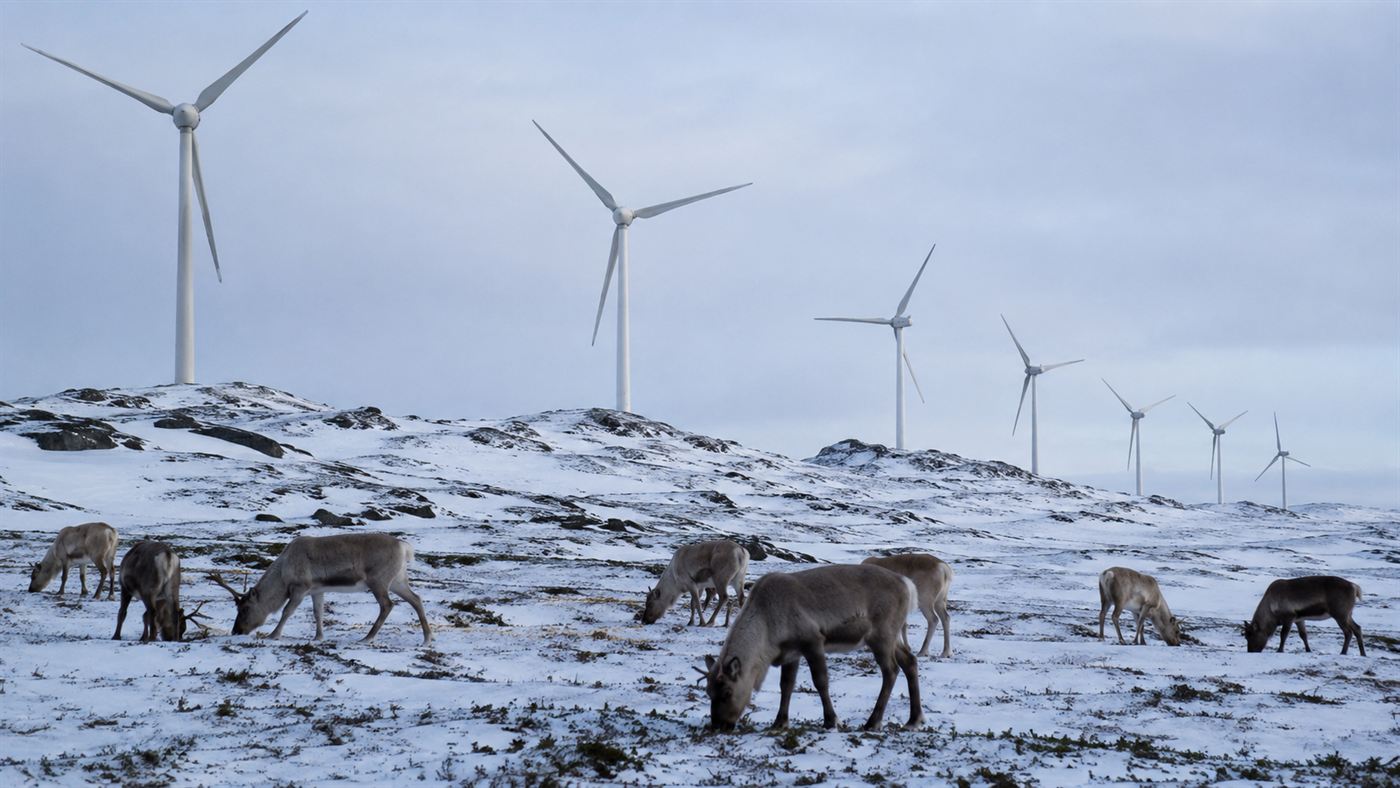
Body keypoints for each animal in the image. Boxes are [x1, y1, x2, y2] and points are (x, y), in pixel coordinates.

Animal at [212, 533, 432, 645]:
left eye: (244, 608)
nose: (236, 631)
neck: (283, 574)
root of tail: (404, 547)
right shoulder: (317, 590)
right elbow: (318, 613)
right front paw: (318, 637)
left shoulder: (300, 588)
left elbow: (286, 611)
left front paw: (273, 634)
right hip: (398, 580)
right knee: (416, 599)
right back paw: (427, 638)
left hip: (378, 581)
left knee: (387, 605)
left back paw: (367, 637)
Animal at [700, 563, 922, 732]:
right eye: (708, 691)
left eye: (727, 692)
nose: (718, 726)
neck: (767, 625)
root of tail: (908, 585)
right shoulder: (790, 652)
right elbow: (786, 686)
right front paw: (779, 722)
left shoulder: (812, 641)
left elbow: (821, 682)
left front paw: (832, 721)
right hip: (892, 637)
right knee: (910, 661)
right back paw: (914, 720)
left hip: (881, 635)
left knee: (891, 670)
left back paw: (873, 722)